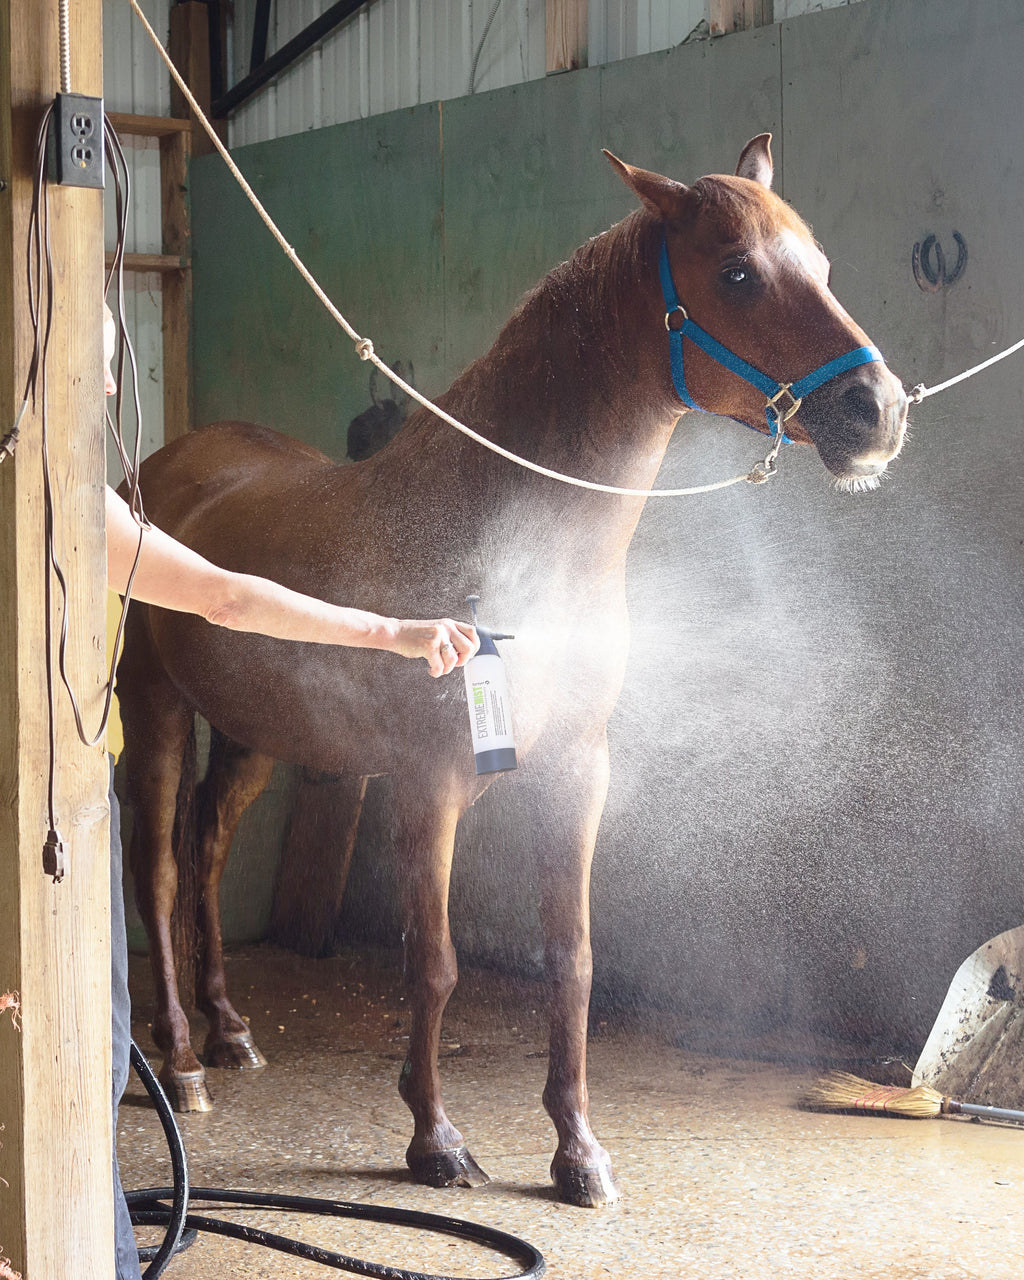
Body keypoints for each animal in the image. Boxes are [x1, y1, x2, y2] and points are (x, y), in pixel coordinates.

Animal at [117, 135, 908, 1208]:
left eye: (820, 265)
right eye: (737, 272)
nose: (878, 413)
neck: (508, 538)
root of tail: (163, 469)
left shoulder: (578, 771)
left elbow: (571, 959)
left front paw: (579, 1151)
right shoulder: (429, 784)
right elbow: (435, 964)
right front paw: (435, 1139)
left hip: (251, 737)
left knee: (202, 850)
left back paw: (232, 1032)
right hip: (155, 710)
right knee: (156, 869)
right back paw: (183, 1062)